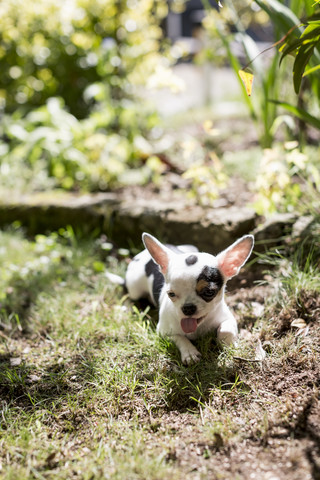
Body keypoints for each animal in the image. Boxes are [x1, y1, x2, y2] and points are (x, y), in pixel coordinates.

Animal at [123, 232, 255, 364]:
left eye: (209, 292)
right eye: (171, 294)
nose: (188, 308)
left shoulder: (228, 319)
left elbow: (225, 330)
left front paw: (228, 345)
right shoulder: (164, 332)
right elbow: (180, 337)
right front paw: (190, 353)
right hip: (135, 288)